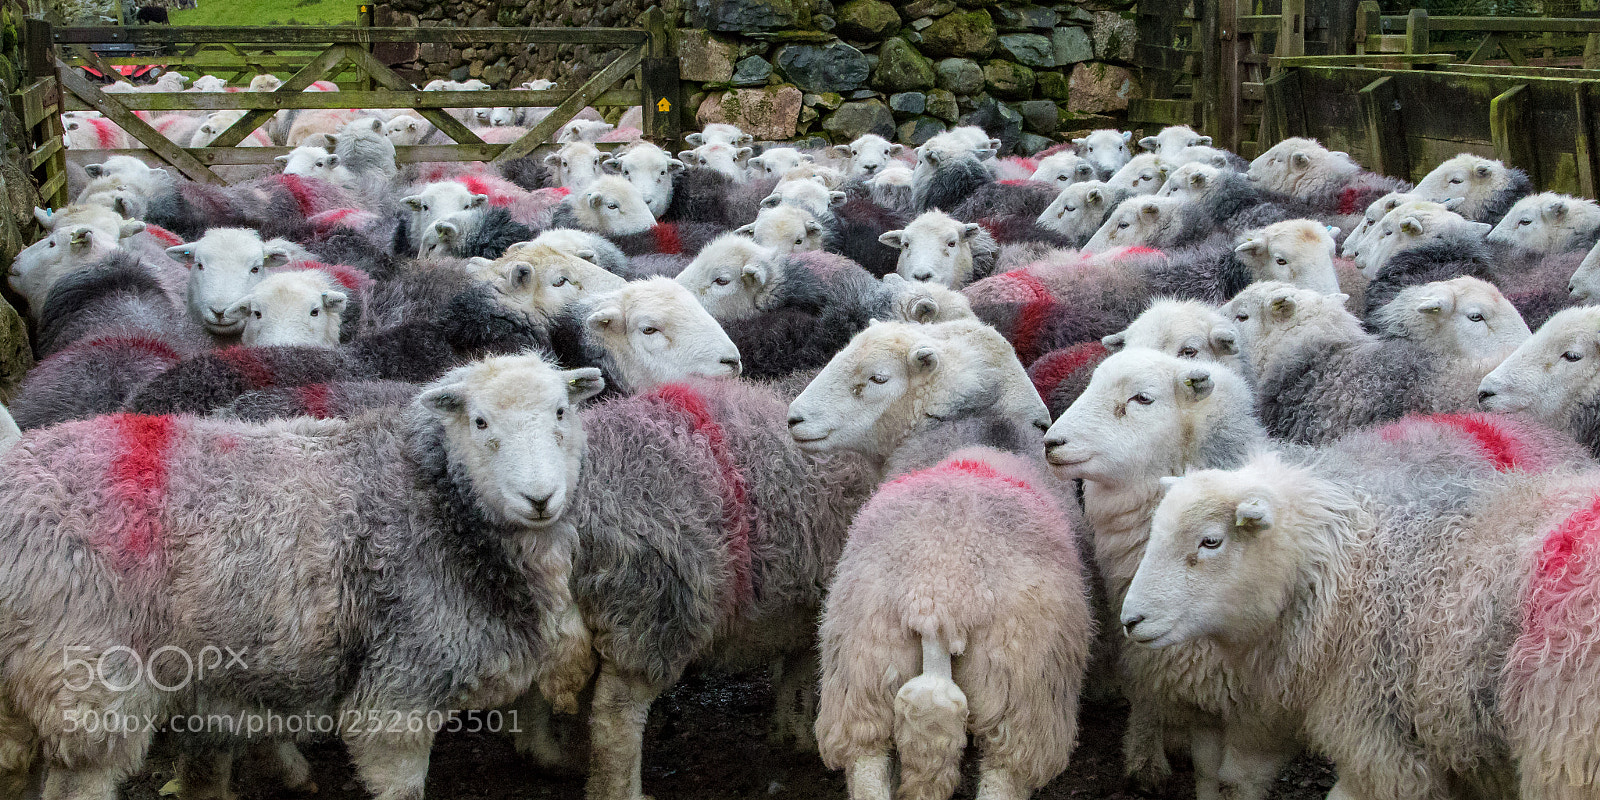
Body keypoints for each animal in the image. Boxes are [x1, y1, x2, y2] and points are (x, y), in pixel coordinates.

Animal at [0, 354, 600, 800]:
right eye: (480, 422)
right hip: (86, 676)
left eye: (562, 412)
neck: (432, 497)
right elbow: (399, 782)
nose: (540, 497)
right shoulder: (401, 683)